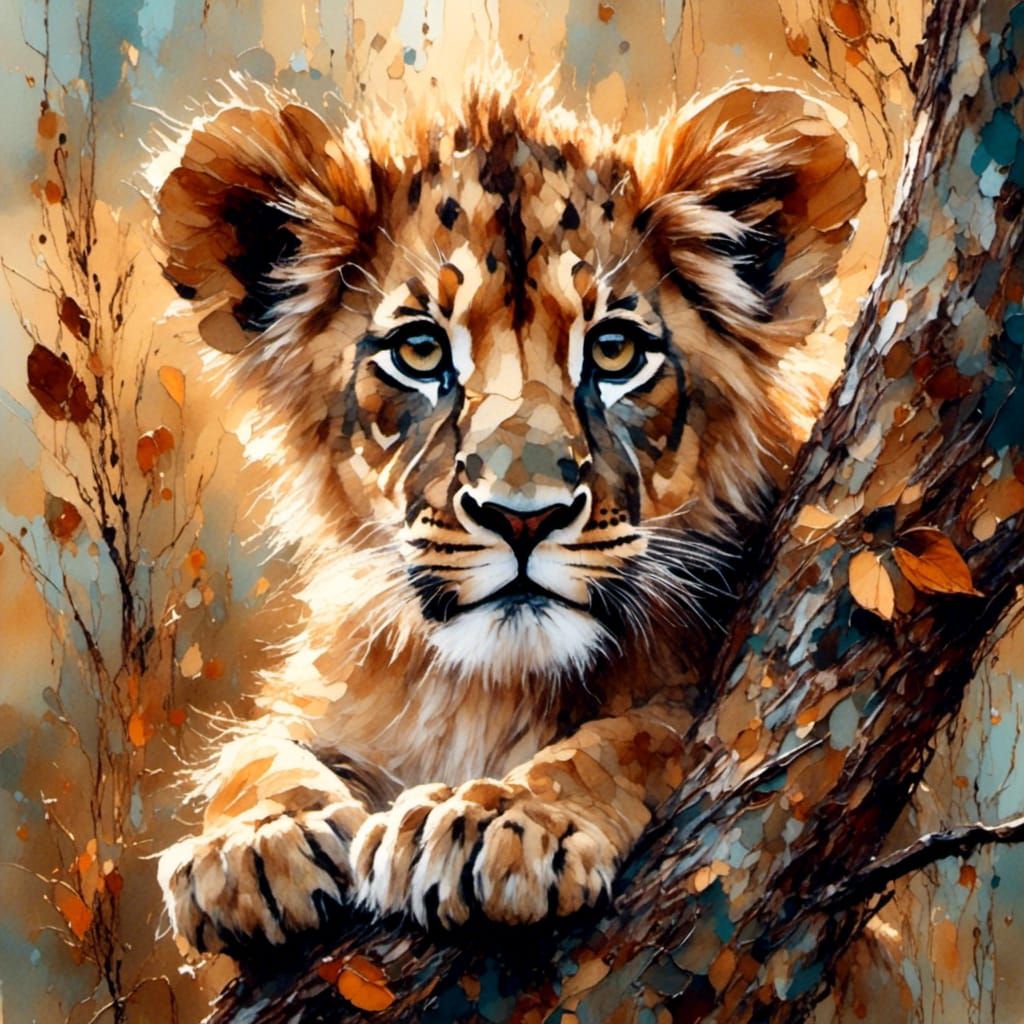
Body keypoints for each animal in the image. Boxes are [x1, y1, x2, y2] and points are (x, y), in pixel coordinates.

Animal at [153, 73, 863, 955]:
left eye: (616, 352)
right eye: (420, 351)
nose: (523, 518)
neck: (485, 690)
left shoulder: (706, 703)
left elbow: (637, 735)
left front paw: (493, 819)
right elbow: (257, 749)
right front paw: (253, 841)